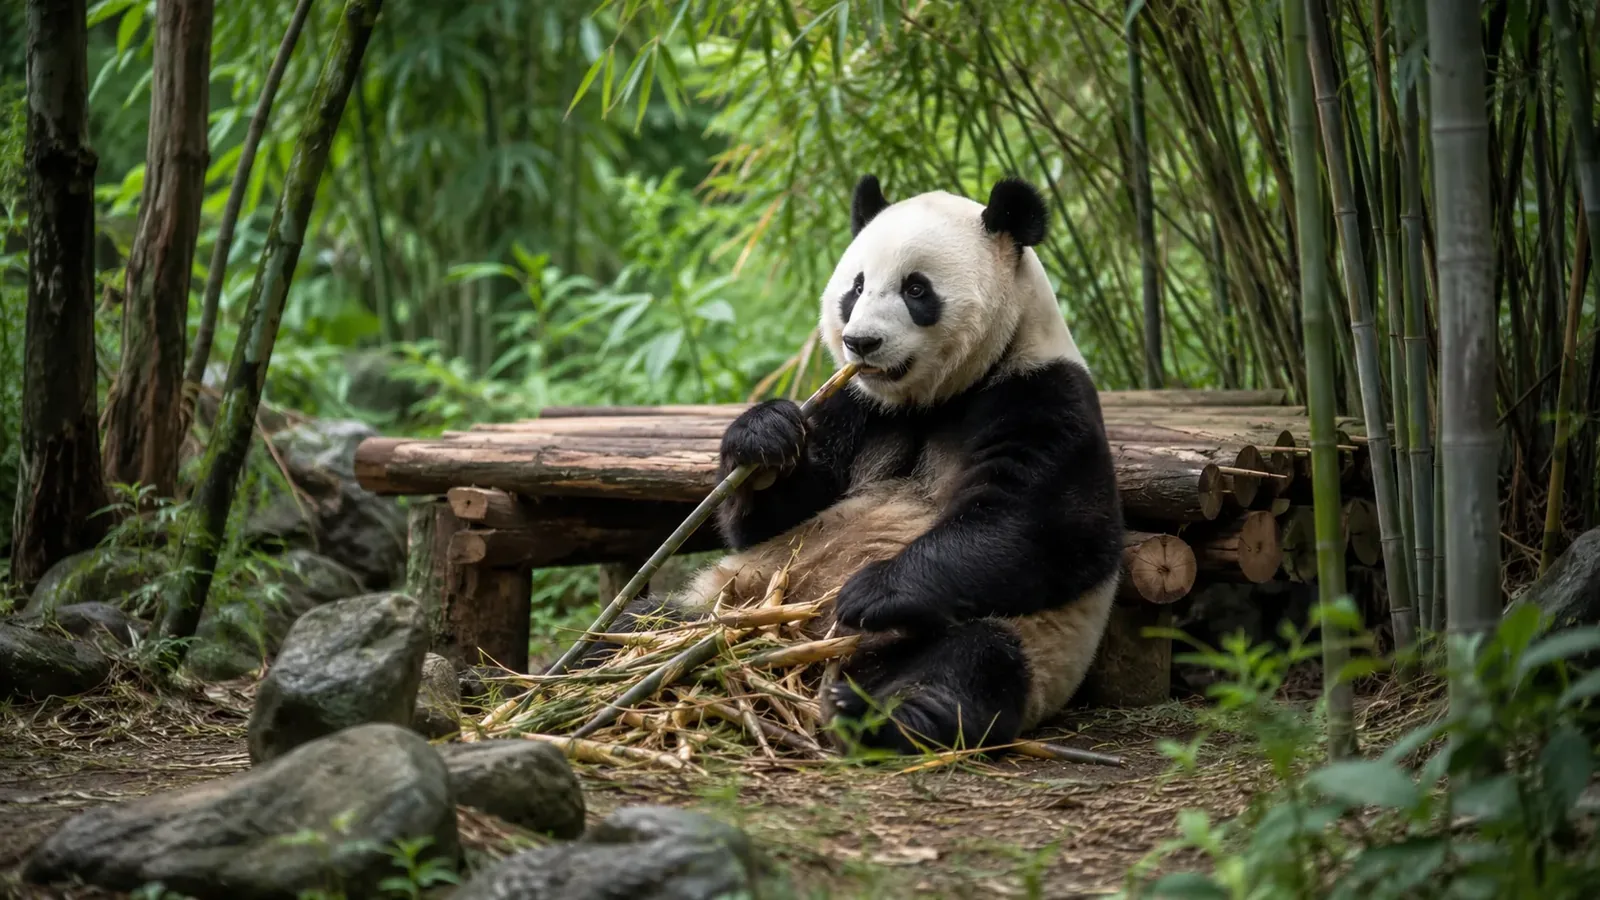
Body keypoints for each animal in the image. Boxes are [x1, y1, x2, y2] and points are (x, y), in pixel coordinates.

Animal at [605, 174, 1124, 754]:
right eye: (855, 287)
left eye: (916, 290)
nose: (861, 341)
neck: (935, 398)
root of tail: (801, 654)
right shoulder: (855, 405)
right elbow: (773, 517)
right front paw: (764, 438)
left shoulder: (1043, 394)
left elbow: (1049, 530)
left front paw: (870, 591)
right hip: (727, 603)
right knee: (640, 625)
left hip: (1017, 641)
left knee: (973, 659)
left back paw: (882, 715)